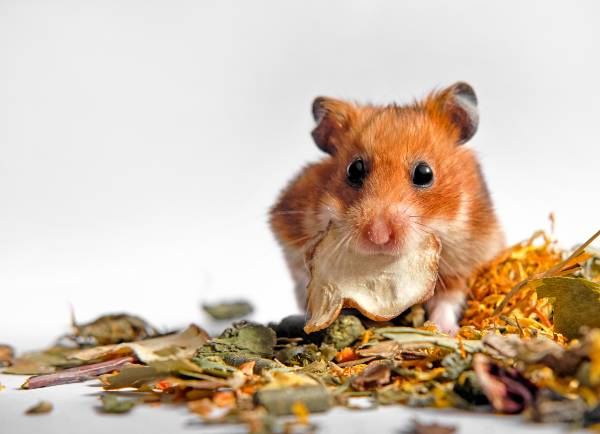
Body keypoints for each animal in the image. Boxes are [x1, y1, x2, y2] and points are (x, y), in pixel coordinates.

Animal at [270, 82, 504, 332]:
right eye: (354, 170)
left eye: (424, 173)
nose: (378, 236)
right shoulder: (288, 230)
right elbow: (302, 270)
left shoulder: (469, 252)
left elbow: (448, 298)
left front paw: (444, 331)